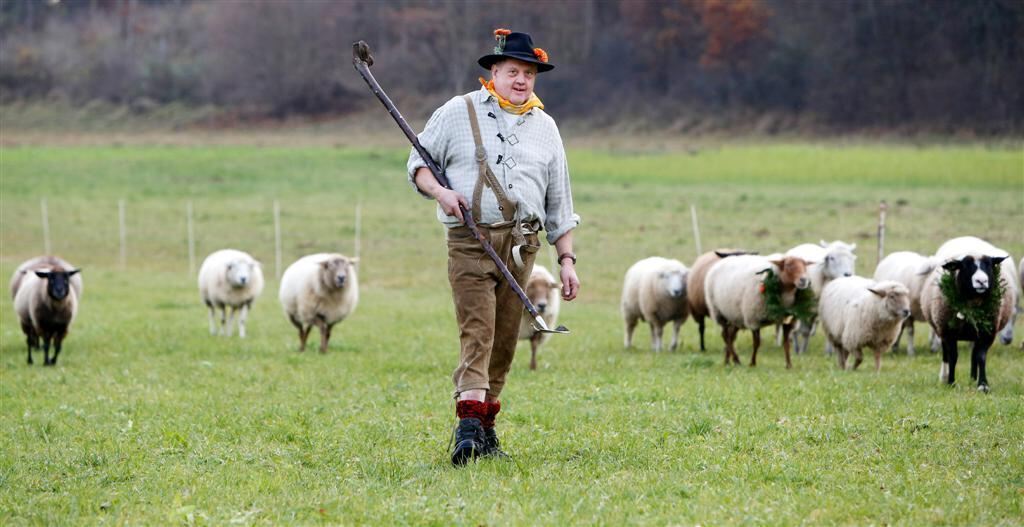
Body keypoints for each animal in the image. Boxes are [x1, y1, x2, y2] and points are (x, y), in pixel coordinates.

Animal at [921, 236, 1015, 390]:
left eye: (989, 265)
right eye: (965, 266)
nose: (981, 281)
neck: (972, 306)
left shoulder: (987, 332)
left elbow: (981, 357)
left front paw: (983, 385)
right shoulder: (948, 332)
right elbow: (953, 357)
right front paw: (951, 382)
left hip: (975, 331)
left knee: (973, 355)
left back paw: (972, 378)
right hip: (941, 328)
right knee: (945, 355)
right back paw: (944, 377)